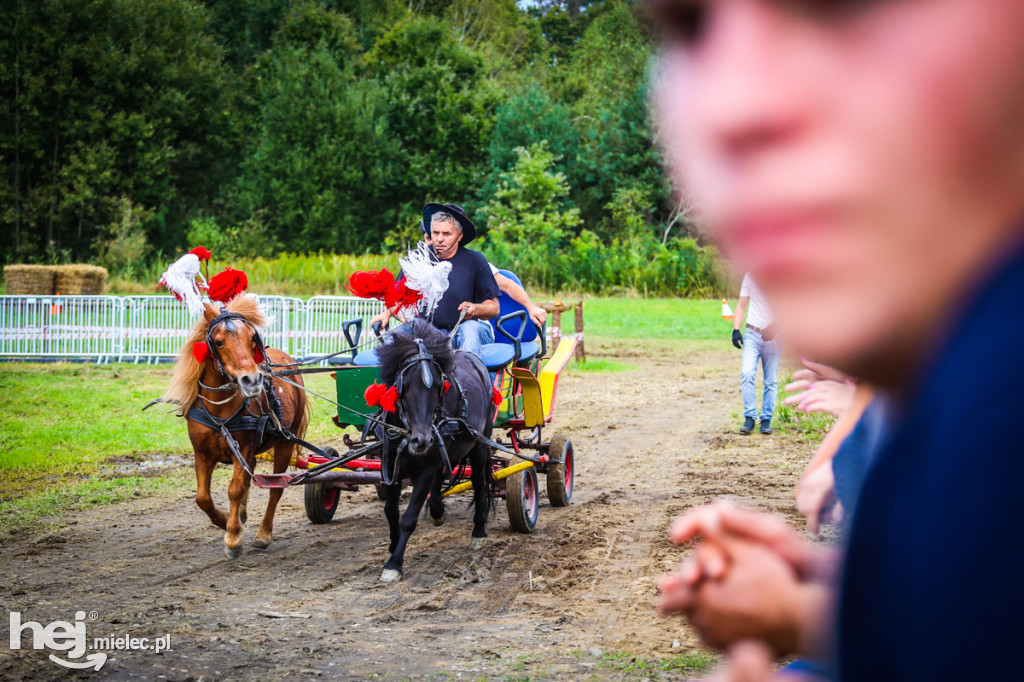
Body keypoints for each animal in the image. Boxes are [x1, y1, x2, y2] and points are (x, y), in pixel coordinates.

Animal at [163, 294, 305, 557]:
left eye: (251, 338)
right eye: (219, 342)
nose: (252, 380)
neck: (220, 411)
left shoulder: (245, 449)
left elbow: (235, 489)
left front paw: (232, 537)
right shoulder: (201, 453)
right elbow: (202, 497)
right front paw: (225, 520)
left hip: (285, 442)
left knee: (275, 488)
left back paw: (264, 533)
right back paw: (240, 514)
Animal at [374, 317, 493, 577]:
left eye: (439, 385)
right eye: (405, 385)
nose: (422, 441)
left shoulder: (426, 468)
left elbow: (408, 518)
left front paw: (394, 564)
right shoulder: (390, 466)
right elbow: (390, 511)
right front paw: (392, 547)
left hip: (479, 444)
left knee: (479, 482)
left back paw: (479, 531)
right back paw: (438, 510)